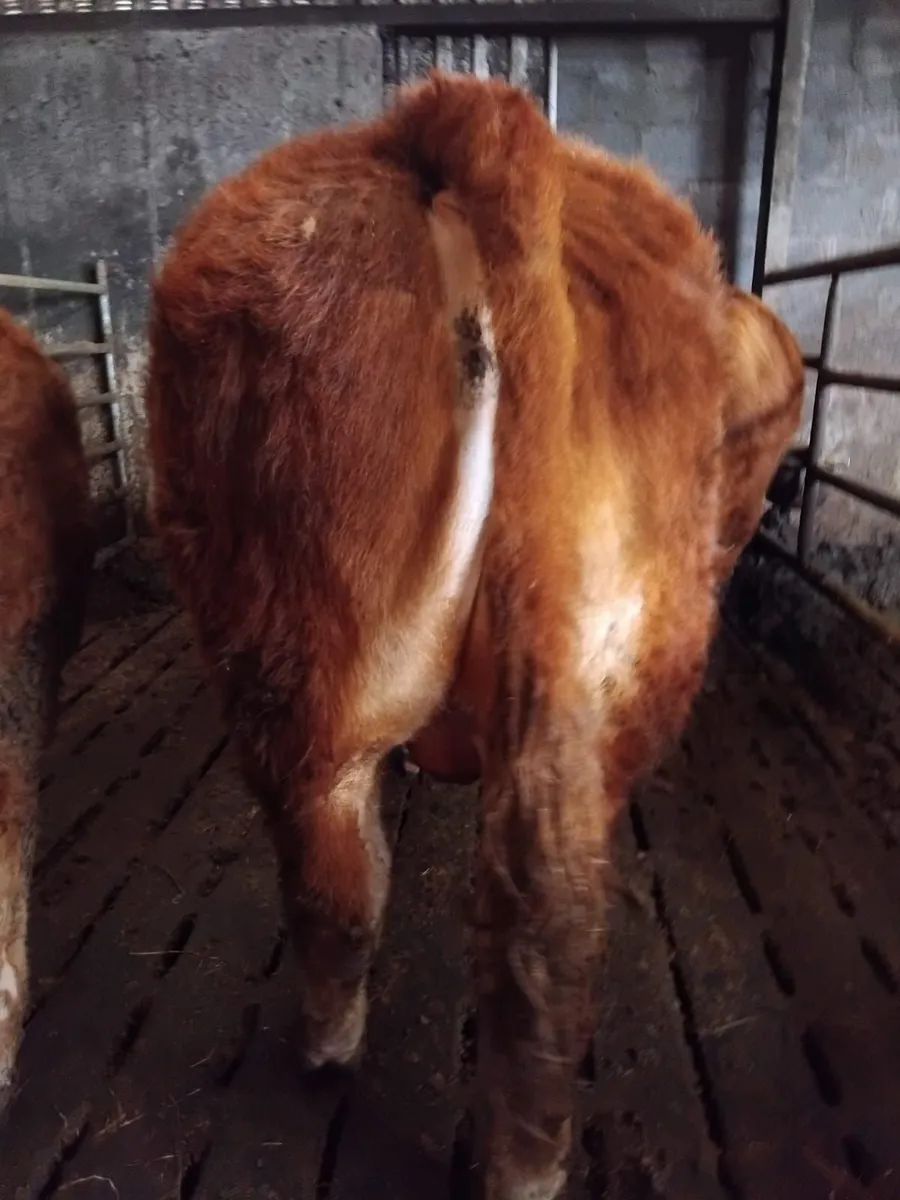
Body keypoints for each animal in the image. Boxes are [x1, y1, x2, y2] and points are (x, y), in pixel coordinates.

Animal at [145, 71, 803, 1200]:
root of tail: (462, 115)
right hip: (607, 659)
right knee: (541, 910)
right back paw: (523, 1163)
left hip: (284, 643)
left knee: (336, 871)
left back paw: (334, 1052)